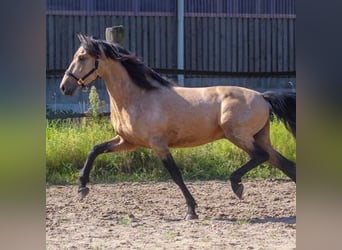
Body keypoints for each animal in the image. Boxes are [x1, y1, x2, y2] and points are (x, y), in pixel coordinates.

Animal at [60, 34, 296, 220]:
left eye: (81, 57)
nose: (65, 87)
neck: (137, 97)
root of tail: (262, 97)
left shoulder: (158, 144)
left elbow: (175, 174)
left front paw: (191, 210)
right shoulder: (127, 142)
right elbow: (95, 150)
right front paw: (82, 187)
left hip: (238, 135)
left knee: (261, 157)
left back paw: (236, 184)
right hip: (258, 137)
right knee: (285, 164)